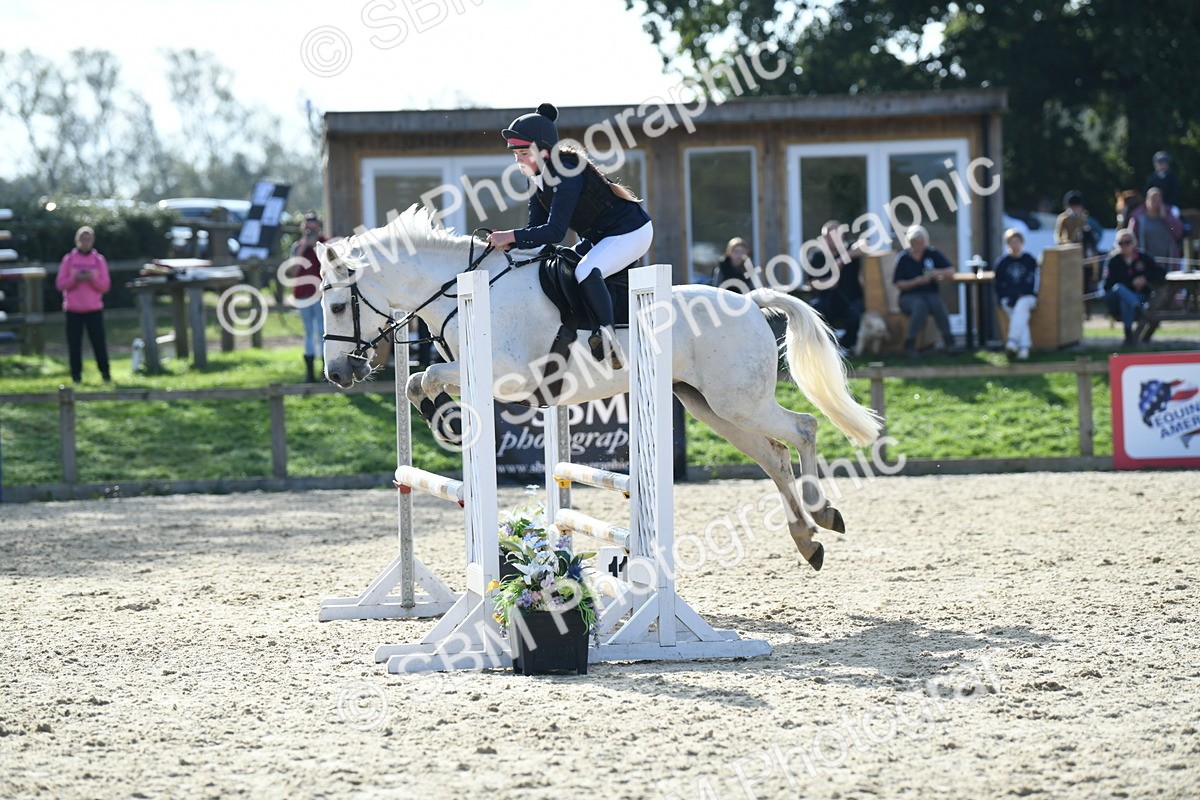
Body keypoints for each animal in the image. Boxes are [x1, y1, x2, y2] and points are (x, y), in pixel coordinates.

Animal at [318, 205, 883, 571]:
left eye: (339, 304)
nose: (337, 374)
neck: (463, 291)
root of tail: (750, 301)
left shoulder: (508, 376)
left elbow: (430, 376)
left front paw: (449, 420)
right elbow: (416, 380)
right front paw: (441, 416)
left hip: (739, 402)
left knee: (803, 428)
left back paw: (823, 513)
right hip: (711, 408)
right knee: (774, 457)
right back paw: (807, 539)